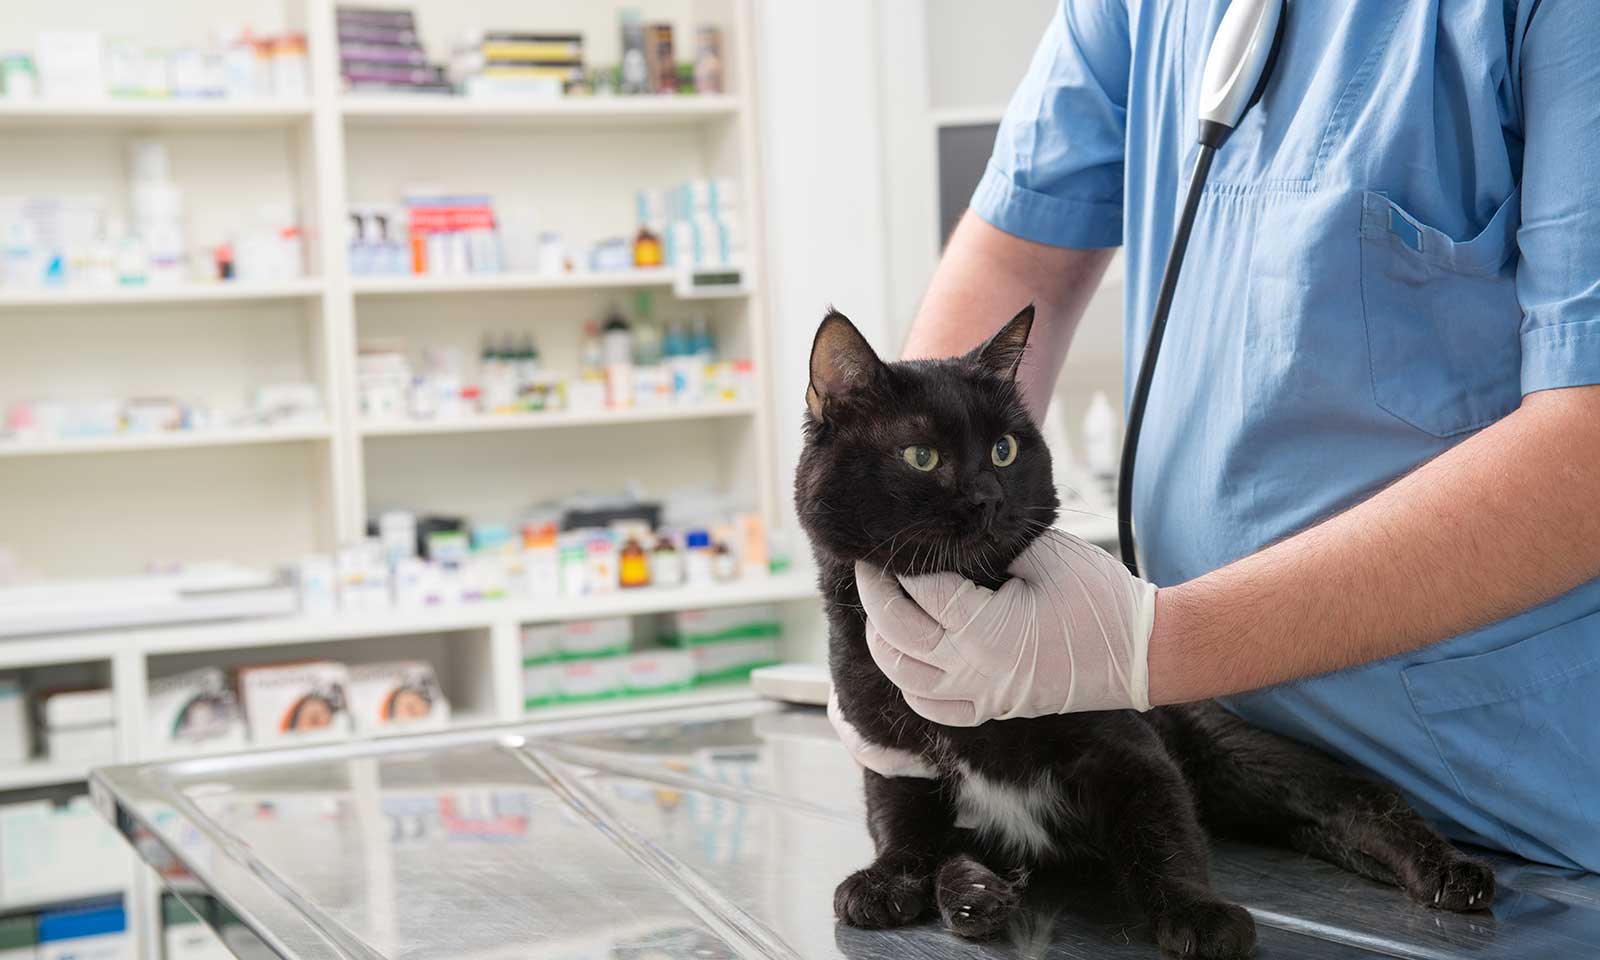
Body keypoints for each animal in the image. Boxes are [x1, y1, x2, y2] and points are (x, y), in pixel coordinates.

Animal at [800, 307, 1497, 960]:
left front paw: (1198, 914)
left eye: (1004, 450)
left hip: (1236, 754)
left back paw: (1451, 871)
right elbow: (908, 835)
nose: (988, 498)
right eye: (921, 457)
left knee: (1355, 796)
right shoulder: (892, 761)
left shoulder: (1127, 752)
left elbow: (1162, 837)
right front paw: (933, 888)